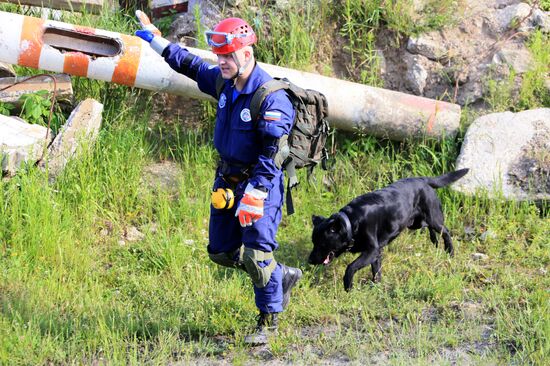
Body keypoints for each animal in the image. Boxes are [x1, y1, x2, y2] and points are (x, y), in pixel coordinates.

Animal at [310, 169, 470, 292]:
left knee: (445, 231)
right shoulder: (376, 253)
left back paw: (450, 251)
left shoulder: (371, 250)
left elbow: (351, 267)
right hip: (415, 223)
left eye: (322, 244)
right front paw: (376, 286)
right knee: (428, 227)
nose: (309, 260)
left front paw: (348, 286)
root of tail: (422, 179)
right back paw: (434, 240)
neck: (351, 221)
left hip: (433, 217)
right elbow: (376, 271)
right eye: (313, 242)